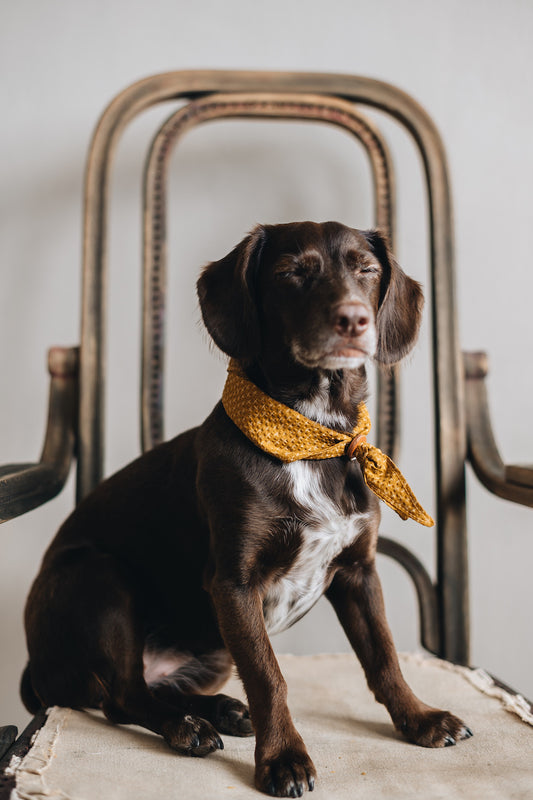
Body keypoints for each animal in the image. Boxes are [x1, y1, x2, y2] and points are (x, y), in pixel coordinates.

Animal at [21, 220, 470, 800]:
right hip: (99, 577)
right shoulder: (234, 585)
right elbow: (268, 675)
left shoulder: (358, 571)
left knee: (148, 686)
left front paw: (419, 718)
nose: (354, 319)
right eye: (291, 273)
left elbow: (385, 657)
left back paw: (220, 710)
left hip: (210, 651)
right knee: (123, 696)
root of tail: (36, 668)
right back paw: (187, 727)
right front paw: (283, 759)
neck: (309, 438)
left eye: (368, 270)